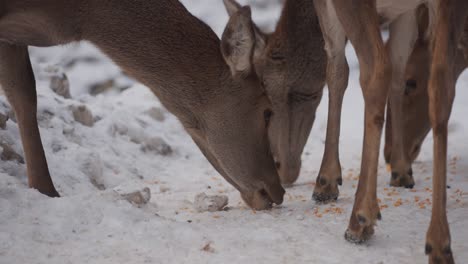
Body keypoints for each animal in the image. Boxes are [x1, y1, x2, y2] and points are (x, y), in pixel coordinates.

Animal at [0, 0, 288, 210]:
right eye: (267, 111)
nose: (279, 190)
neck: (84, 15)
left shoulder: (12, 36)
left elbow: (23, 95)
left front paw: (46, 191)